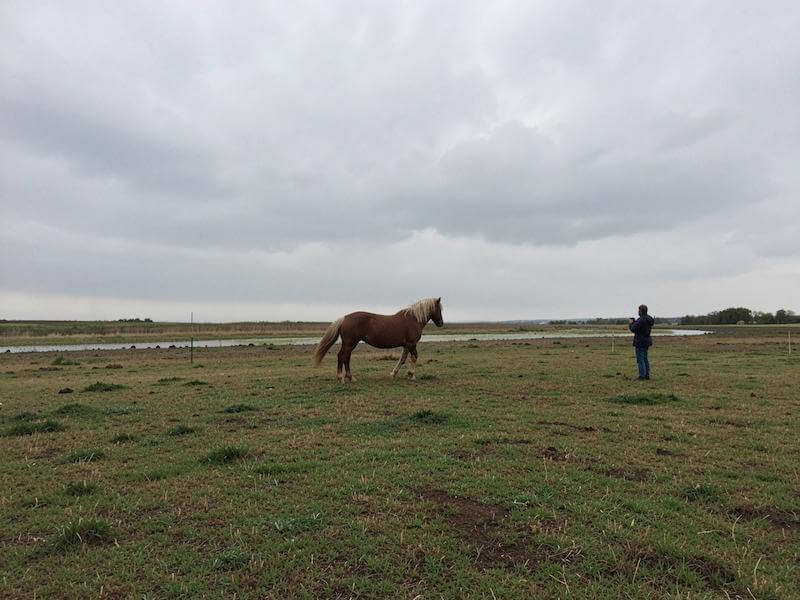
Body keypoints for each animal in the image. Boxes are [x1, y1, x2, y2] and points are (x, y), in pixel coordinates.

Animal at [312, 297, 444, 382]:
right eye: (439, 309)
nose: (441, 323)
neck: (413, 319)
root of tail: (345, 318)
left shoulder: (406, 345)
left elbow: (402, 359)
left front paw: (394, 374)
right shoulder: (412, 344)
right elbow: (414, 357)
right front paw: (412, 375)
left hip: (349, 344)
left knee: (346, 358)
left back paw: (350, 377)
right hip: (350, 343)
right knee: (342, 357)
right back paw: (341, 378)